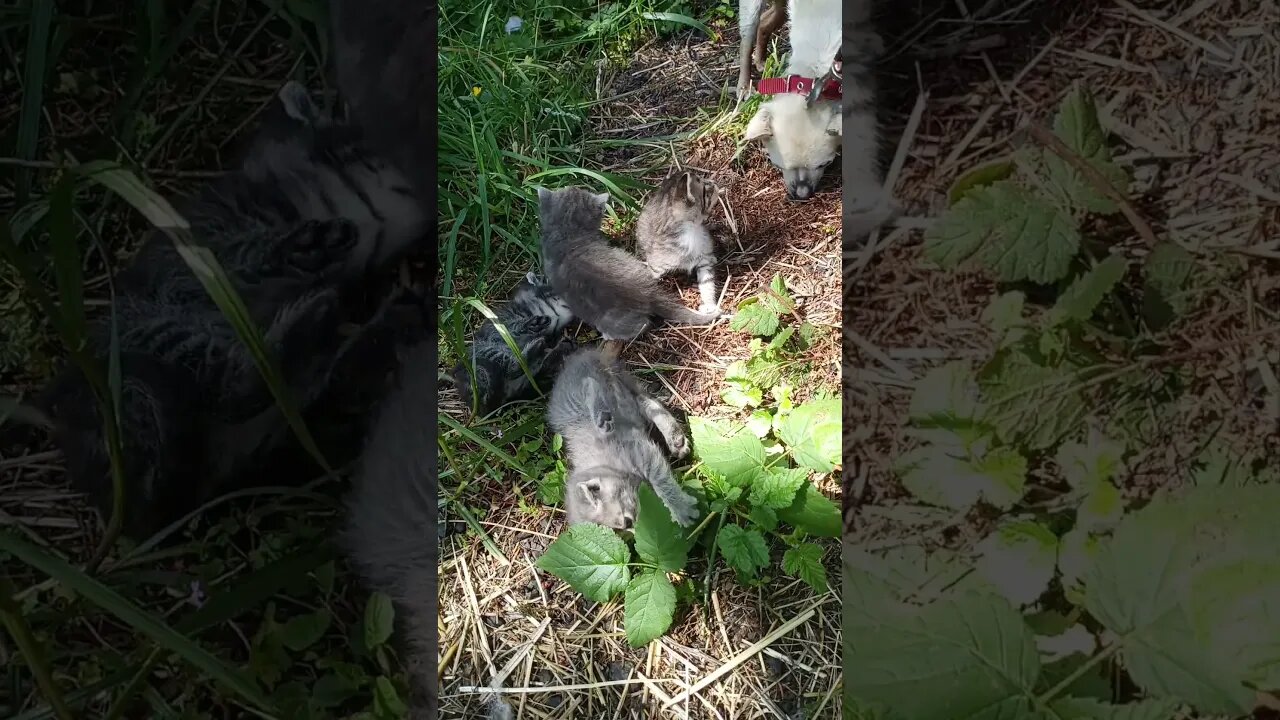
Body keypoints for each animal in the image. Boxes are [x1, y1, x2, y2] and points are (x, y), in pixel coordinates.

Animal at [40, 79, 427, 538]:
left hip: (268, 428)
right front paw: (279, 251)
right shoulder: (202, 242)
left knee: (322, 397)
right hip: (144, 329)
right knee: (232, 385)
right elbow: (232, 253)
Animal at [448, 269, 573, 415]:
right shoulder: (499, 324)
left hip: (523, 380)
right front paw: (525, 325)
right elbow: (510, 327)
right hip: (483, 350)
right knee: (512, 366)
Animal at [542, 348, 701, 527]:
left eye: (627, 522)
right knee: (641, 401)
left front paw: (681, 507)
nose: (641, 527)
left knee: (594, 386)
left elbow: (661, 480)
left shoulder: (640, 452)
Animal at [637, 170, 727, 313]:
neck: (691, 233)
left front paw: (710, 305)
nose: (714, 182)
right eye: (705, 188)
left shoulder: (704, 261)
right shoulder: (654, 268)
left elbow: (708, 284)